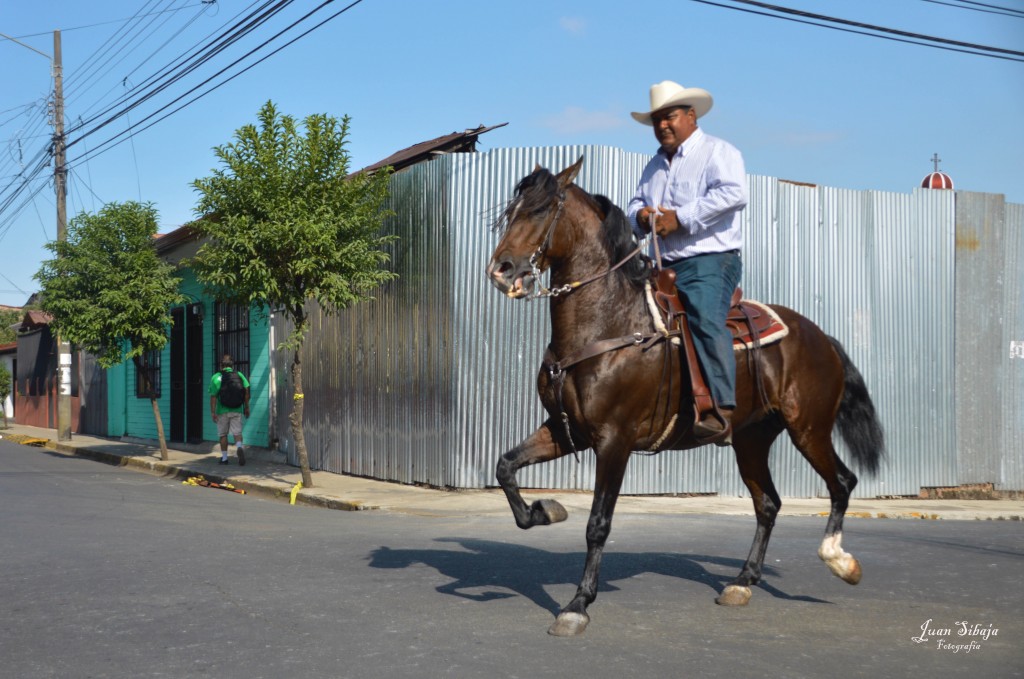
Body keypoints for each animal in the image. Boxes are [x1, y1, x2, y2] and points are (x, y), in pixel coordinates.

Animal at [483, 157, 884, 639]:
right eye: (511, 211)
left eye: (541, 210)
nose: (501, 269)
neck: (609, 323)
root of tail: (821, 338)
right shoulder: (568, 431)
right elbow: (506, 467)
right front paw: (547, 510)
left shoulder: (614, 441)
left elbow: (598, 524)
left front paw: (578, 604)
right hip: (752, 439)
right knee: (768, 503)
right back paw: (742, 582)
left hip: (808, 429)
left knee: (842, 482)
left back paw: (840, 561)